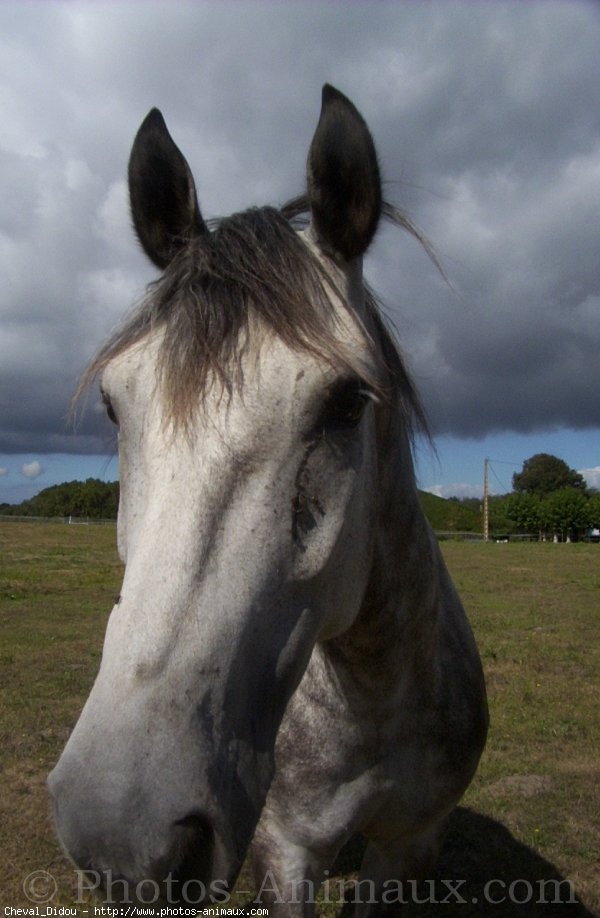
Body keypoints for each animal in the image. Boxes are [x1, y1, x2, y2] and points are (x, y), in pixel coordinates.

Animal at [48, 84, 488, 912]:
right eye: (116, 406)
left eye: (347, 403)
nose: (123, 830)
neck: (374, 696)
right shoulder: (287, 852)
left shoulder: (411, 843)